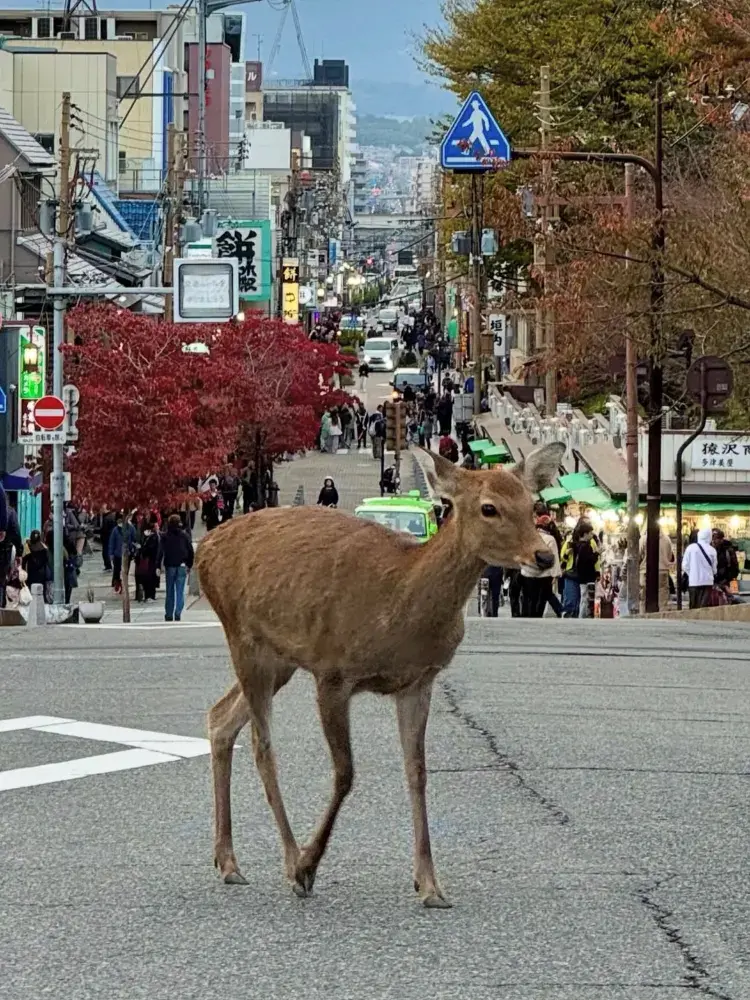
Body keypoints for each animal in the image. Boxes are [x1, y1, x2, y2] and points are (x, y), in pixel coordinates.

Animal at [196, 442, 564, 909]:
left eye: (532, 503)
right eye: (489, 507)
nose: (545, 556)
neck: (400, 601)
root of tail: (203, 547)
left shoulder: (418, 681)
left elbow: (417, 772)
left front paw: (429, 884)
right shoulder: (333, 671)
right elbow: (345, 772)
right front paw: (308, 867)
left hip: (279, 660)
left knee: (221, 718)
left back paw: (228, 862)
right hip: (243, 637)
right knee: (263, 746)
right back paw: (289, 860)